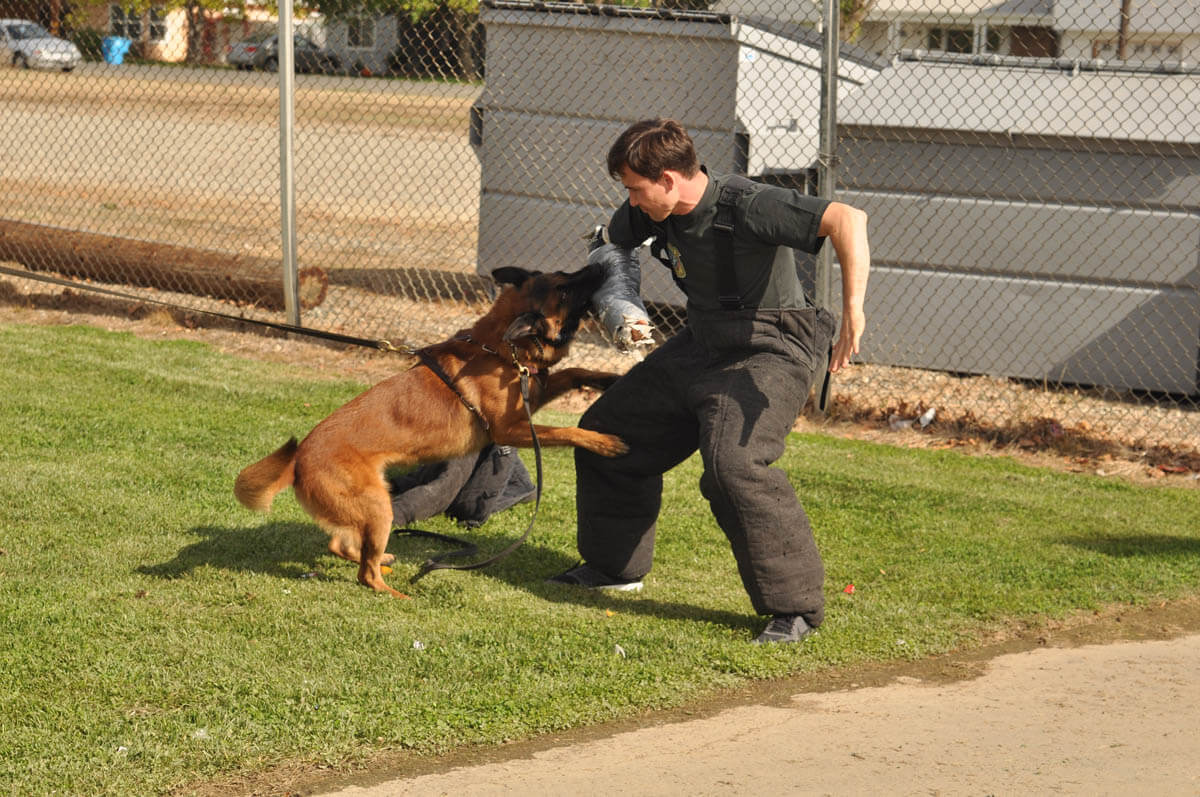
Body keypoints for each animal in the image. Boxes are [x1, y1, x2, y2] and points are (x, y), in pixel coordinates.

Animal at [232, 264, 628, 595]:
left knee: (340, 545)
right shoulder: (510, 430)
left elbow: (574, 372)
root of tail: (297, 460)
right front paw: (604, 442)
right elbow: (566, 430)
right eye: (565, 289)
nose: (600, 264)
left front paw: (608, 378)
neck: (502, 348)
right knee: (365, 574)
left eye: (565, 276)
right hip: (380, 507)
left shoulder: (534, 393)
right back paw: (396, 593)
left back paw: (383, 559)